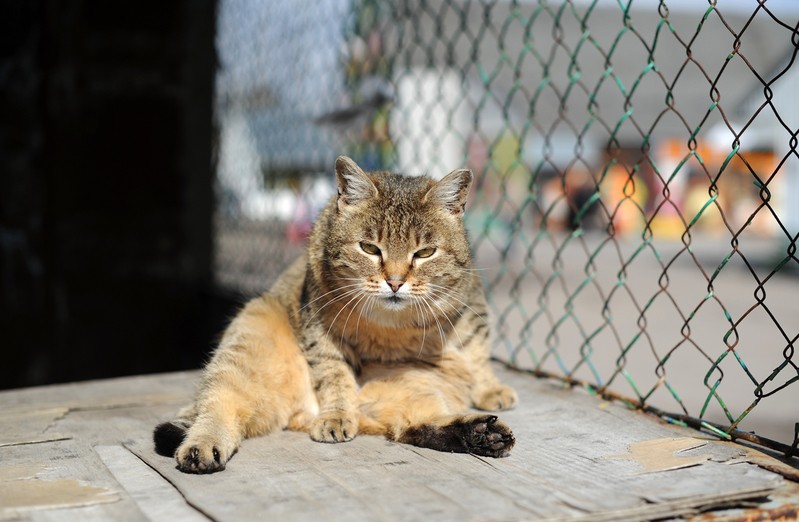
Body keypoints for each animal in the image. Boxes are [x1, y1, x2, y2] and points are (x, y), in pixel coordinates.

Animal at [155, 154, 520, 472]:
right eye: (370, 248)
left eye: (425, 253)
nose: (395, 282)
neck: (394, 327)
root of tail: (298, 412)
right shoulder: (320, 329)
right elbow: (334, 376)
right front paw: (336, 415)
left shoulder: (472, 309)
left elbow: (478, 352)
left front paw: (490, 388)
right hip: (245, 344)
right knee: (217, 404)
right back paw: (204, 445)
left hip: (415, 384)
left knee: (415, 425)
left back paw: (482, 434)